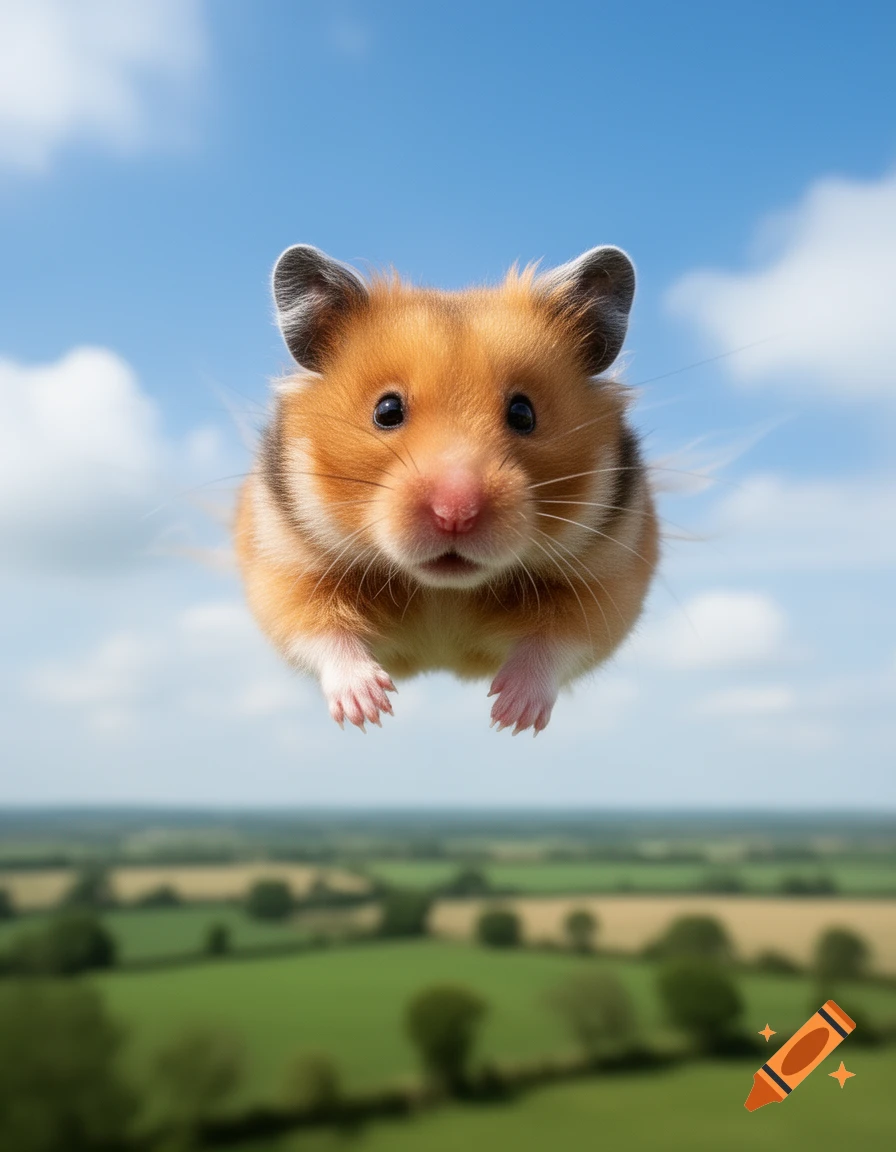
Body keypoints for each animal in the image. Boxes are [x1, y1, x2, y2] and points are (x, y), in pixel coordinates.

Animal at [234, 244, 659, 734]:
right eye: (387, 410)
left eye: (523, 413)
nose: (455, 513)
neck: (443, 590)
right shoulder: (282, 564)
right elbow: (318, 630)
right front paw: (369, 709)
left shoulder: (610, 577)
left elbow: (558, 641)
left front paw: (511, 717)